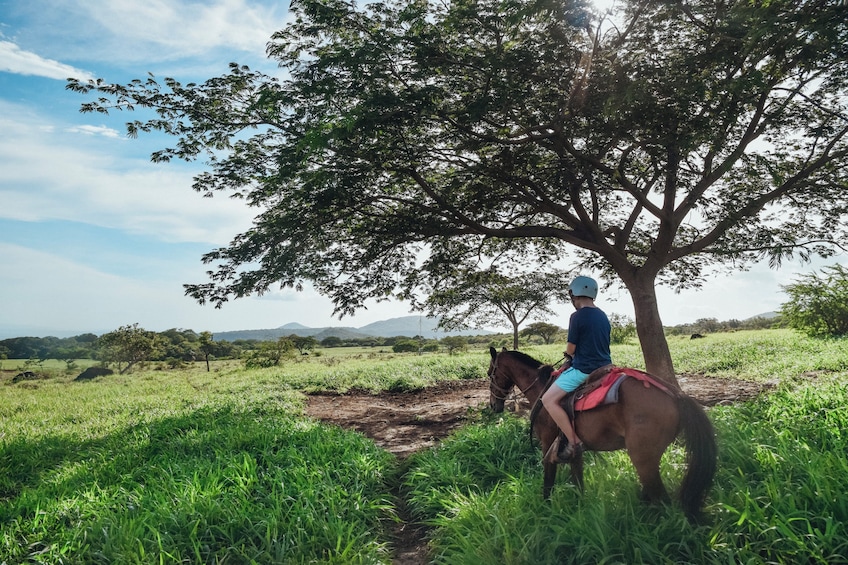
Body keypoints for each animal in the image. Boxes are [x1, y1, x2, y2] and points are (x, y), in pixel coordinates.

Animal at [490, 344, 716, 520]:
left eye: (489, 373)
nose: (494, 406)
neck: (542, 390)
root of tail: (676, 396)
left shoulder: (547, 444)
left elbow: (548, 483)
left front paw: (545, 512)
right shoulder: (574, 450)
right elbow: (578, 483)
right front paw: (579, 512)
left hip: (642, 459)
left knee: (661, 498)